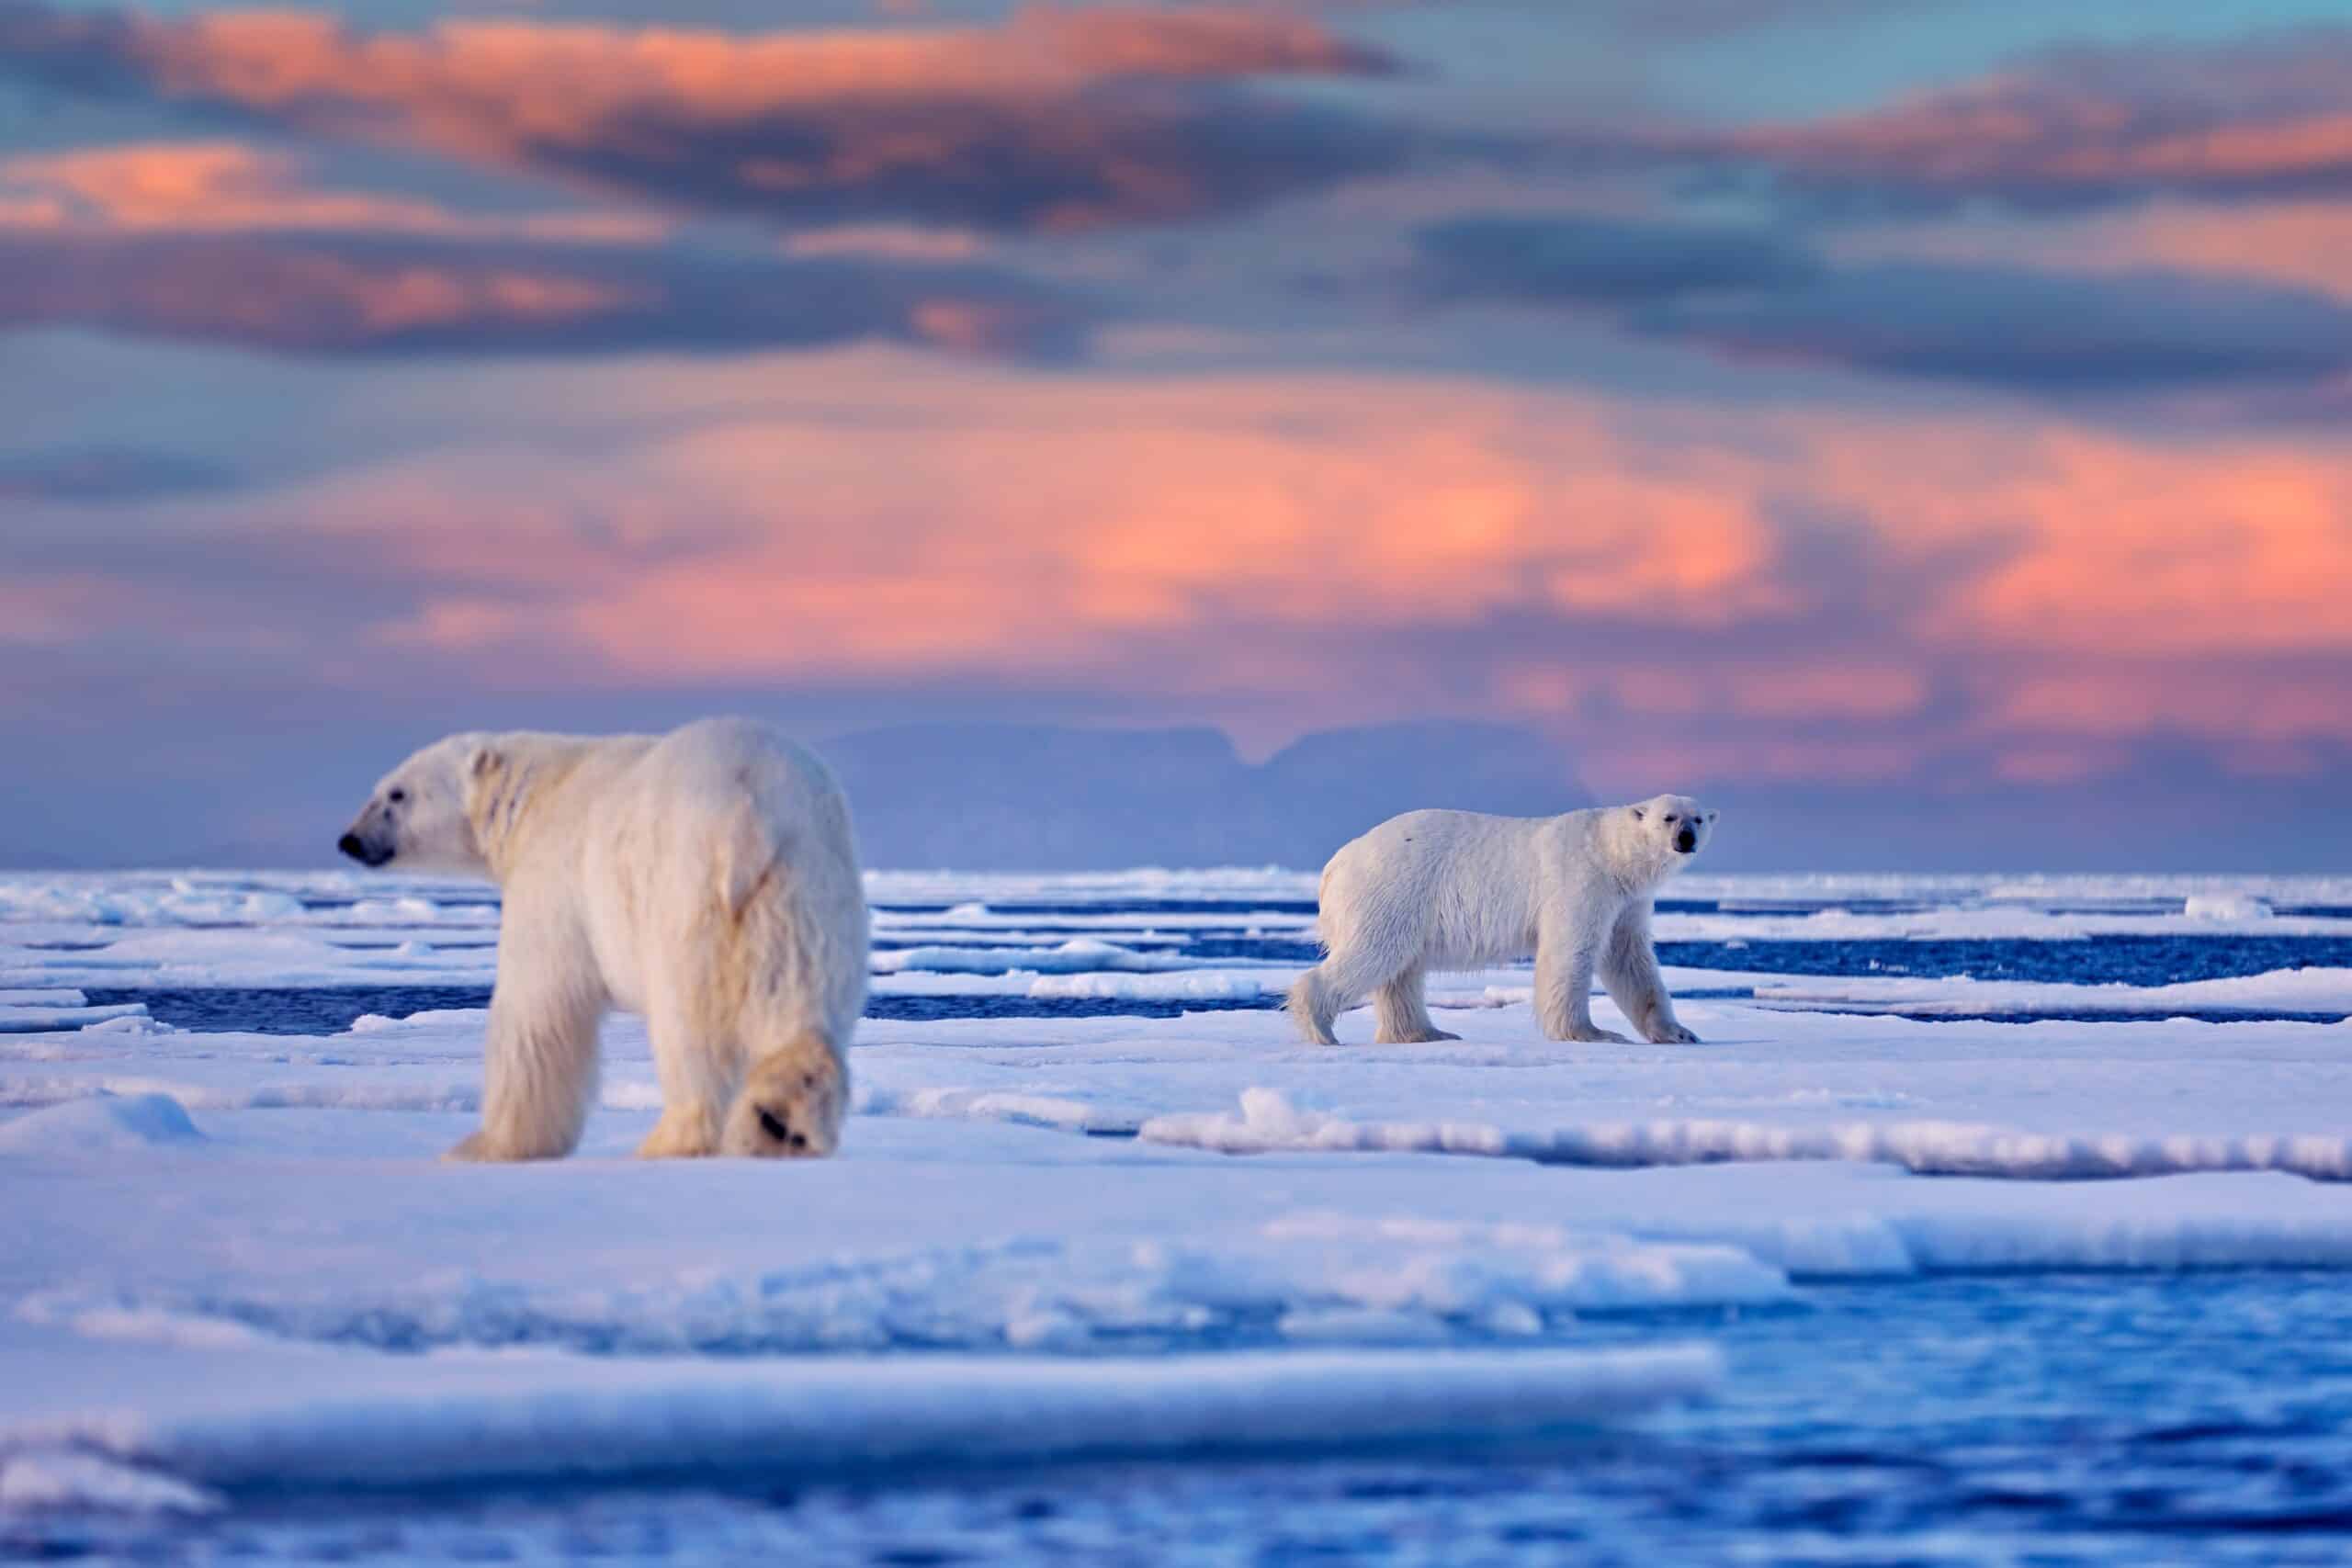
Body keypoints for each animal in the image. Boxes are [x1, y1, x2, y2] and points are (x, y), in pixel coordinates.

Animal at [336, 719, 870, 1161]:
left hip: (683, 895)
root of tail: (751, 810)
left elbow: (537, 1010)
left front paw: (487, 1146)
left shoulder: (554, 879)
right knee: (796, 997)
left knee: (688, 1026)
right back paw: (780, 1123)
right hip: (804, 888)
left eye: (396, 794)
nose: (349, 840)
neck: (533, 795)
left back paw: (669, 1140)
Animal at [1298, 804, 1721, 1048]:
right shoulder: (1581, 879)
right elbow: (1570, 952)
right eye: (1668, 817)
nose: (1686, 838)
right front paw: (1592, 1033)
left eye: (1698, 818)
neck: (1608, 850)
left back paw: (1426, 1033)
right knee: (1374, 954)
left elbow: (1629, 960)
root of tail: (1335, 864)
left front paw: (1679, 1032)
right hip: (1391, 889)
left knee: (1400, 972)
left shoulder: (1627, 902)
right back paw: (1321, 1028)